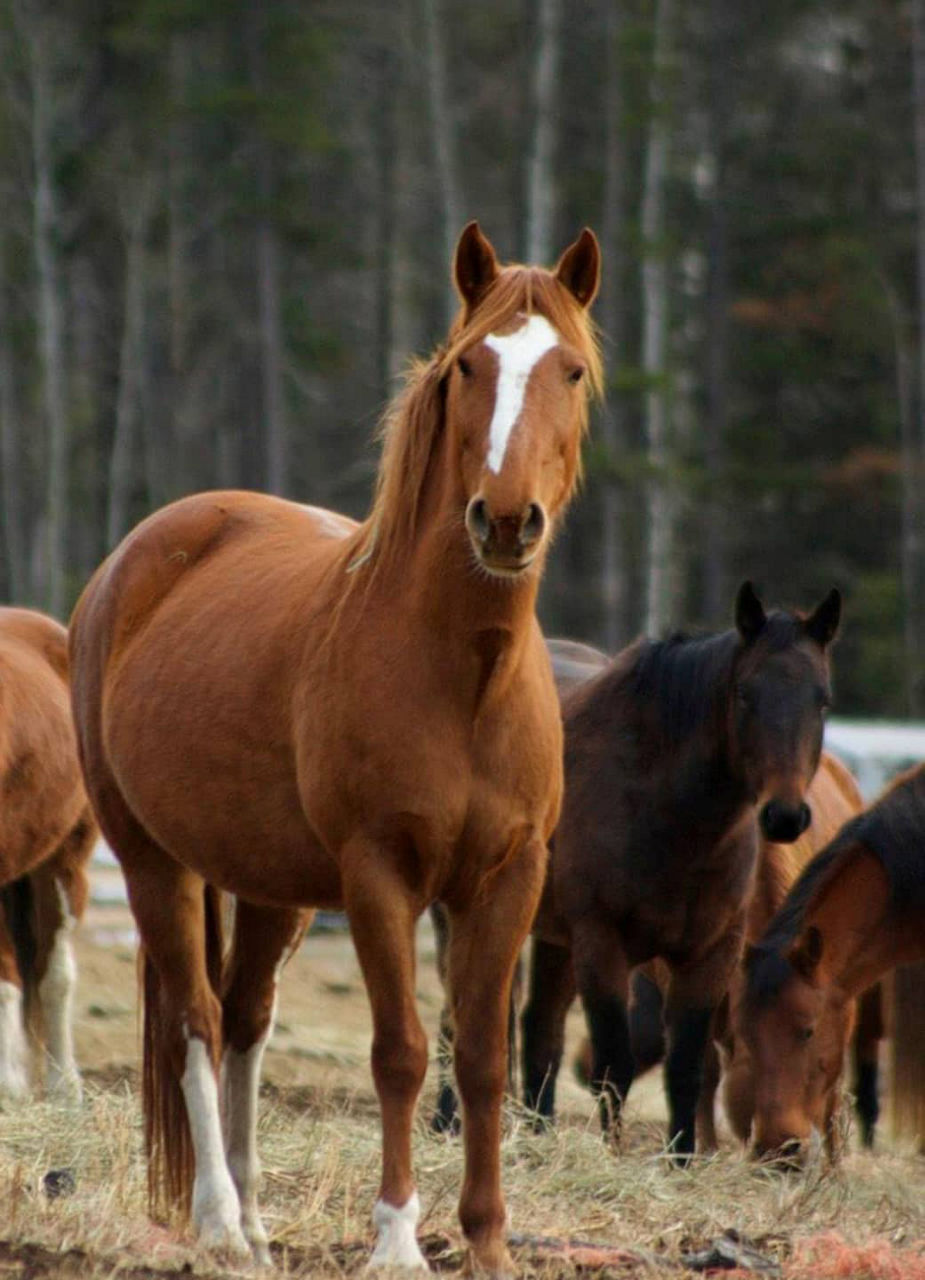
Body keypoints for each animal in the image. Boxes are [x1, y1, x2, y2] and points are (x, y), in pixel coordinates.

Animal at [68, 225, 603, 1274]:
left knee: (244, 1020)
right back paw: (220, 1222)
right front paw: (394, 1239)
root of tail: (129, 563)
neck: (463, 674)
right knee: (195, 1018)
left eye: (567, 367)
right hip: (153, 862)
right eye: (468, 365)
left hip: (268, 883)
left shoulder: (509, 879)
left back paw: (254, 1216)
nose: (505, 521)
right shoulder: (378, 876)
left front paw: (488, 1241)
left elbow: (481, 1058)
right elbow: (400, 1052)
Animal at [521, 583, 839, 1162]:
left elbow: (687, 1068)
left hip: (554, 936)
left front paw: (682, 1159)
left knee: (540, 1030)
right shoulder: (602, 942)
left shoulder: (710, 952)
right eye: (744, 693)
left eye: (821, 699)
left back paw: (533, 1137)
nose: (784, 816)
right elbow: (614, 1064)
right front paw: (614, 1157)